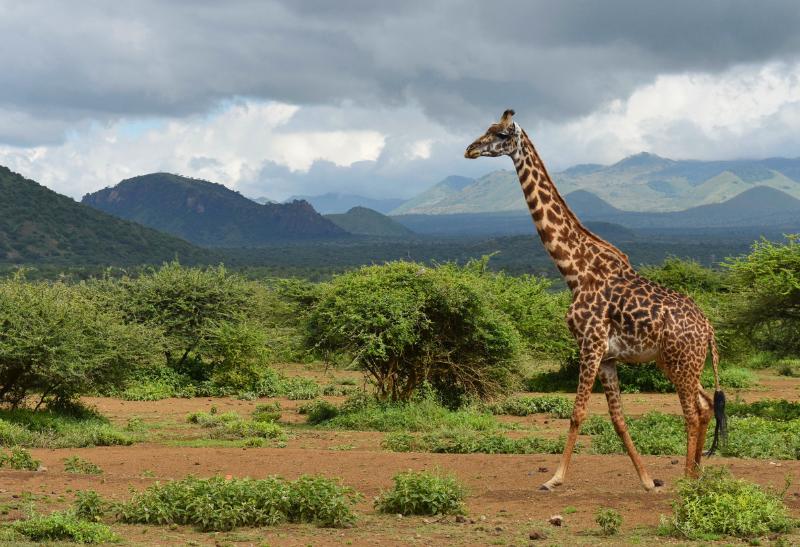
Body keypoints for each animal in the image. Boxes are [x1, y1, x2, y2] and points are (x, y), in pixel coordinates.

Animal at [466, 108, 728, 492]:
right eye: (486, 129)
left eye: (500, 134)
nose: (469, 149)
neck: (575, 270)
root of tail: (709, 329)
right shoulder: (607, 357)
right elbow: (617, 419)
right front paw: (647, 480)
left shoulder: (589, 344)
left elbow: (577, 413)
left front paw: (555, 479)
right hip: (674, 362)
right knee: (706, 404)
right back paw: (696, 473)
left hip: (682, 361)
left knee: (692, 412)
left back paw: (686, 478)